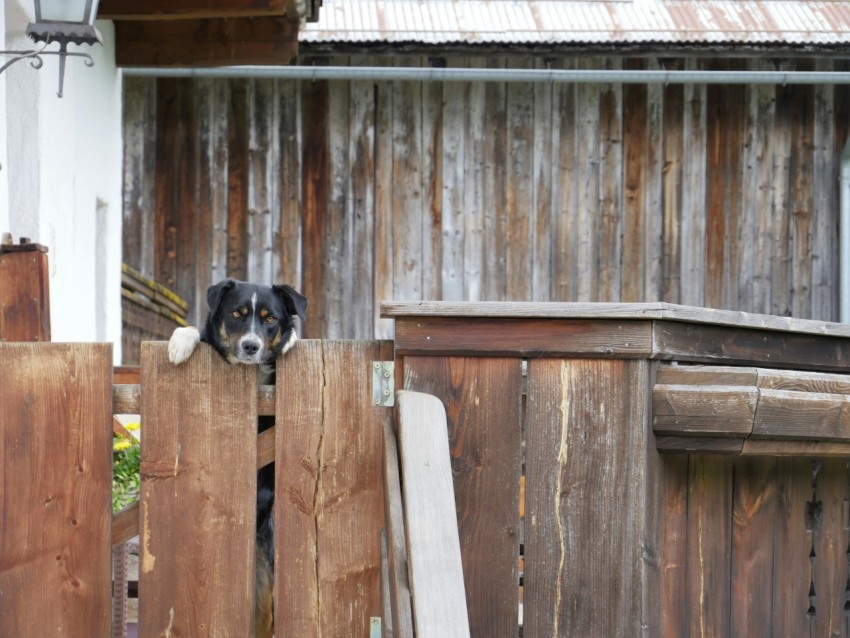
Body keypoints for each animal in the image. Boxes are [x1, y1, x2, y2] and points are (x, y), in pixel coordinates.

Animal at [169, 280, 308, 638]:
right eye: (236, 314)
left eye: (270, 318)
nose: (250, 346)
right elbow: (195, 330)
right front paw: (180, 341)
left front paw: (290, 342)